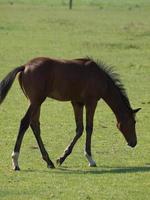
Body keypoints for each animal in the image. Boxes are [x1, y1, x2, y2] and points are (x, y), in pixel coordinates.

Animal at [0, 56, 141, 170]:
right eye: (133, 122)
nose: (133, 143)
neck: (100, 77)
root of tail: (25, 67)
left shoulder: (77, 103)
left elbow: (79, 129)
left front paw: (61, 158)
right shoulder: (91, 102)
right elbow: (89, 128)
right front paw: (90, 159)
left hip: (35, 102)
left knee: (34, 125)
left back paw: (49, 161)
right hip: (36, 101)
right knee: (24, 122)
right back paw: (15, 161)